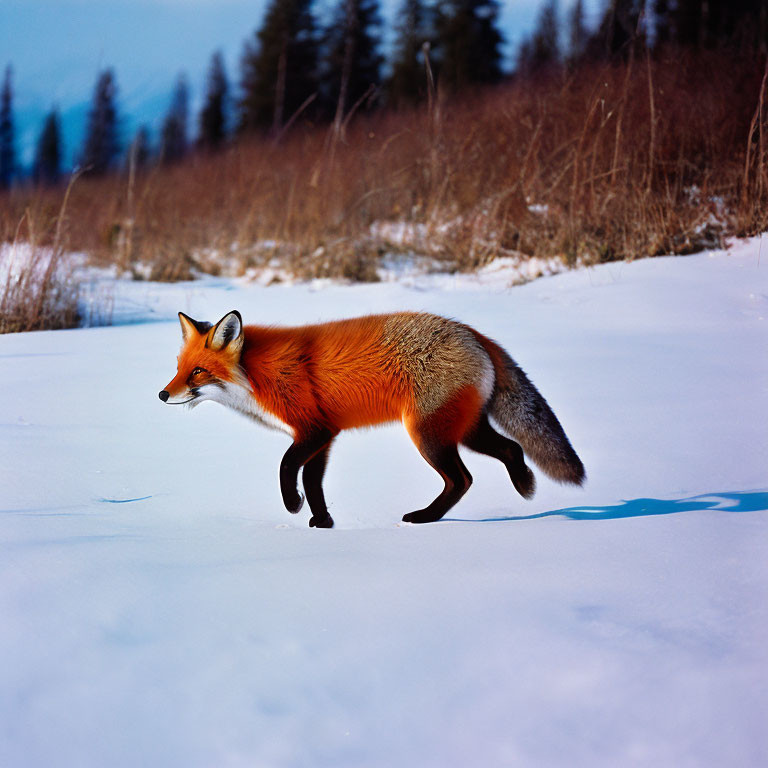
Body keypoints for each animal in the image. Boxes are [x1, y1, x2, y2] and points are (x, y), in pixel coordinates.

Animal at [160, 312, 584, 528]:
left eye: (197, 372)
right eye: (178, 368)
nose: (163, 395)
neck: (257, 374)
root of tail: (473, 331)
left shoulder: (313, 430)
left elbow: (285, 468)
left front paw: (293, 505)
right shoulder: (325, 436)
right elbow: (313, 481)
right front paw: (323, 522)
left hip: (428, 434)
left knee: (462, 479)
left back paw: (425, 518)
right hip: (464, 430)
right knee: (511, 449)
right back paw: (525, 484)